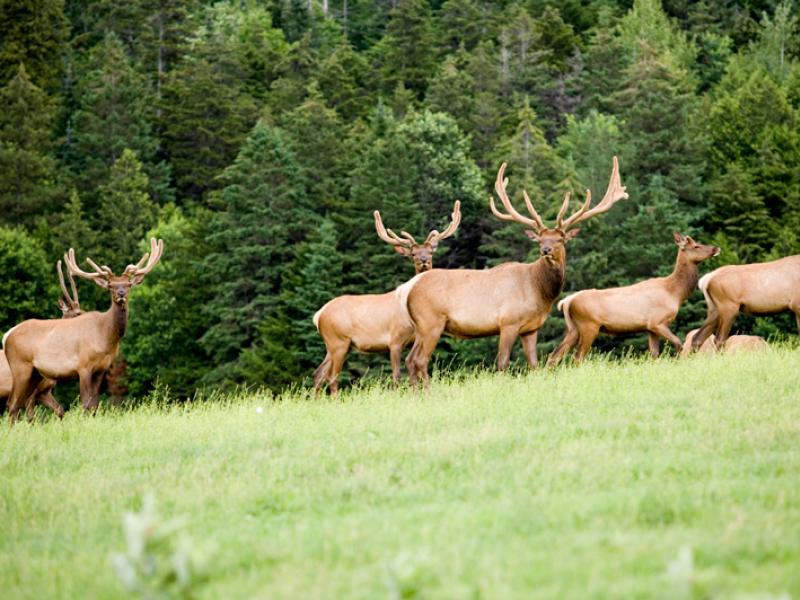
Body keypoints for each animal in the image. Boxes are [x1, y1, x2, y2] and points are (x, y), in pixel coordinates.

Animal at [312, 202, 462, 394]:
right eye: (413, 253)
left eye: (430, 252)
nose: (423, 260)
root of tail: (318, 315)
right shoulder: (395, 339)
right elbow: (396, 375)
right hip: (338, 341)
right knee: (331, 376)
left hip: (333, 345)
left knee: (318, 374)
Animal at [404, 157, 628, 386]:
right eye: (540, 239)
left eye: (560, 239)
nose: (545, 250)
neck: (539, 291)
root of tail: (407, 290)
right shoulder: (508, 322)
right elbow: (502, 363)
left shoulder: (531, 328)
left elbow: (534, 364)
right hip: (431, 322)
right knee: (420, 360)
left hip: (420, 327)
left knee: (410, 359)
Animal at [548, 232, 720, 364]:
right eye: (696, 246)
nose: (716, 248)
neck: (675, 293)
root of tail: (566, 302)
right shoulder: (657, 321)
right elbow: (679, 344)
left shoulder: (650, 328)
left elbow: (654, 355)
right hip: (588, 325)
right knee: (577, 358)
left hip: (573, 328)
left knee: (554, 355)